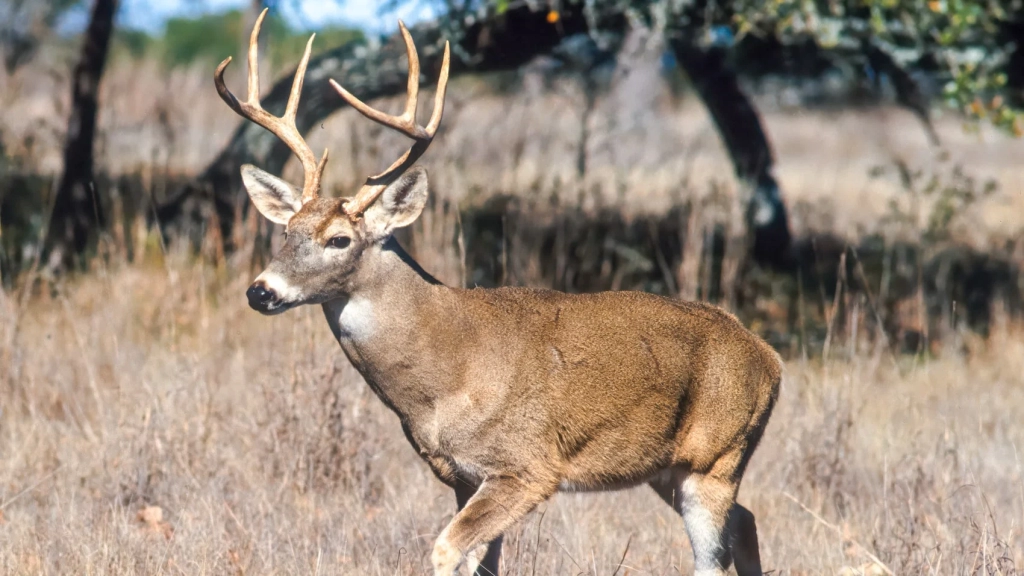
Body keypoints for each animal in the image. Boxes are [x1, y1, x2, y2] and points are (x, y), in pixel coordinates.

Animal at [215, 10, 782, 576]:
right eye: (286, 232)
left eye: (339, 239)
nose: (260, 292)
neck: (446, 371)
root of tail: (769, 357)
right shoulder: (462, 476)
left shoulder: (526, 466)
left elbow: (447, 549)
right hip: (667, 469)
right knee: (748, 520)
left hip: (717, 458)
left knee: (714, 555)